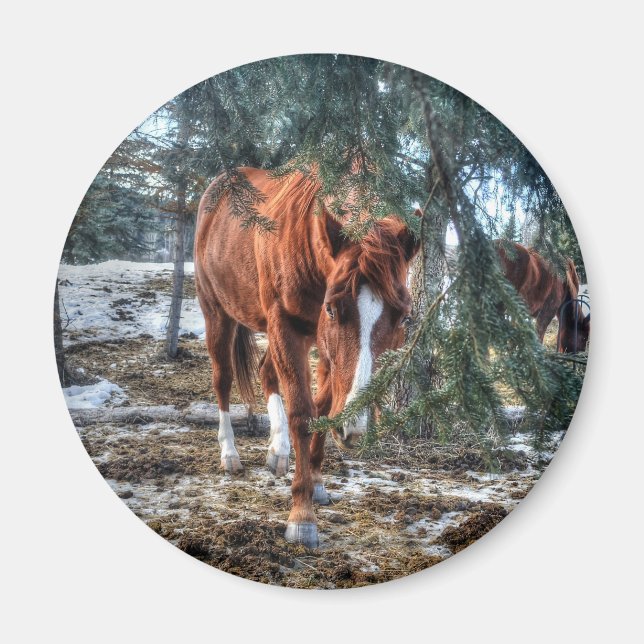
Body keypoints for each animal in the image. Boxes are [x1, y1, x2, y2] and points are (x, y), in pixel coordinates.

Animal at [194, 167, 420, 547]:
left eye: (403, 317)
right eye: (331, 308)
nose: (356, 430)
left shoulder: (324, 348)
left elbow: (323, 409)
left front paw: (315, 482)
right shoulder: (287, 326)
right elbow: (303, 413)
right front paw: (302, 516)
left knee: (267, 372)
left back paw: (278, 450)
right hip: (217, 313)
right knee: (222, 380)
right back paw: (230, 455)